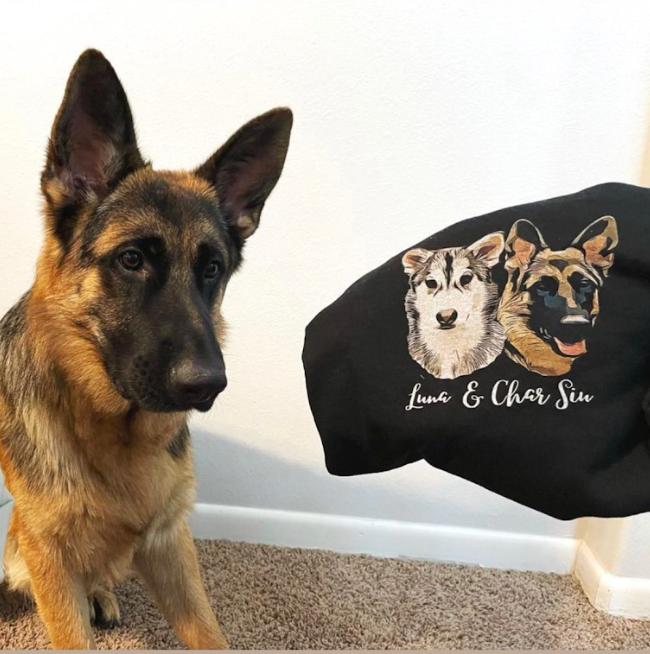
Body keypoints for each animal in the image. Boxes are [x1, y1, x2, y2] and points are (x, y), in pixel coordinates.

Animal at [0, 50, 292, 649]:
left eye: (213, 269)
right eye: (131, 259)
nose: (207, 384)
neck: (115, 432)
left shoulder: (168, 541)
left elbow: (208, 631)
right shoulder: (48, 556)